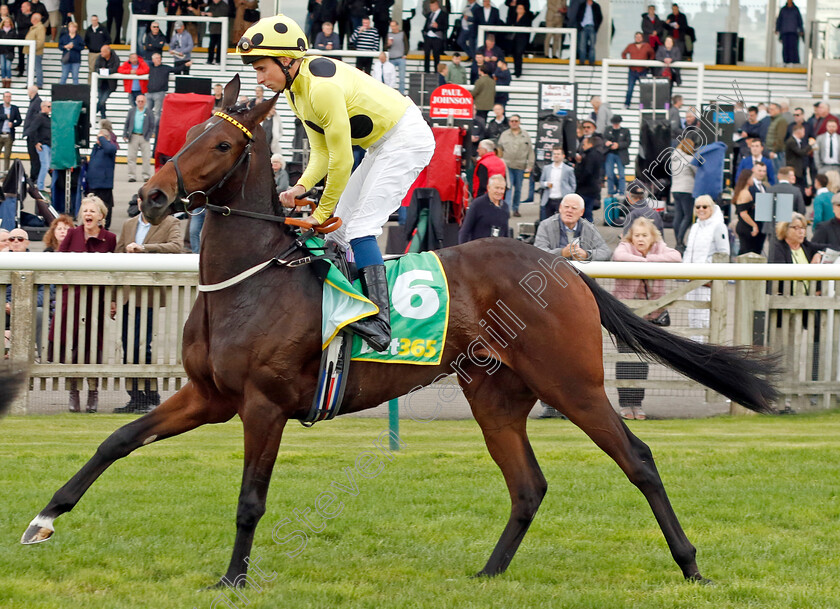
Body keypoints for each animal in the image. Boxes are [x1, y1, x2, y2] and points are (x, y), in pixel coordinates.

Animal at [21, 75, 780, 584]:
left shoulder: (262, 405)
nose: (150, 198)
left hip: (573, 383)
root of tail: (561, 266)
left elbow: (250, 498)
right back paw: (489, 573)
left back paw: (690, 564)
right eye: (185, 135)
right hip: (495, 394)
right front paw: (43, 518)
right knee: (528, 484)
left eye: (219, 143)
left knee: (638, 458)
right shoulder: (209, 396)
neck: (250, 282)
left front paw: (233, 577)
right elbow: (117, 440)